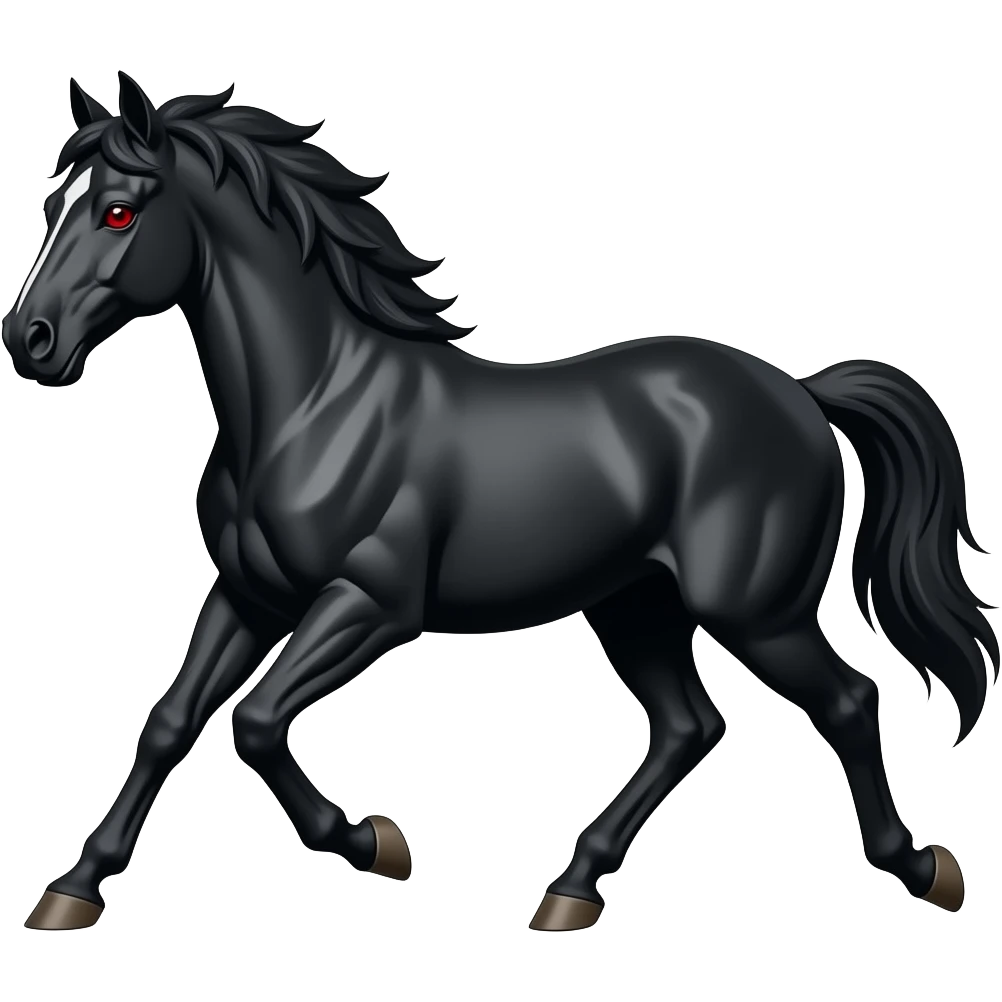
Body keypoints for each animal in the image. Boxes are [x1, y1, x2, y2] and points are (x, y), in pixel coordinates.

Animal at [5, 73, 997, 934]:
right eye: (54, 204)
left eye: (119, 209)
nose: (30, 340)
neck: (316, 404)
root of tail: (800, 391)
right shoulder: (250, 595)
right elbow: (169, 723)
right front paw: (71, 891)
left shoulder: (371, 607)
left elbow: (254, 722)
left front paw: (376, 844)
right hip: (636, 605)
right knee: (691, 726)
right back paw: (570, 891)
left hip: (757, 612)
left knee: (847, 701)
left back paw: (926, 870)